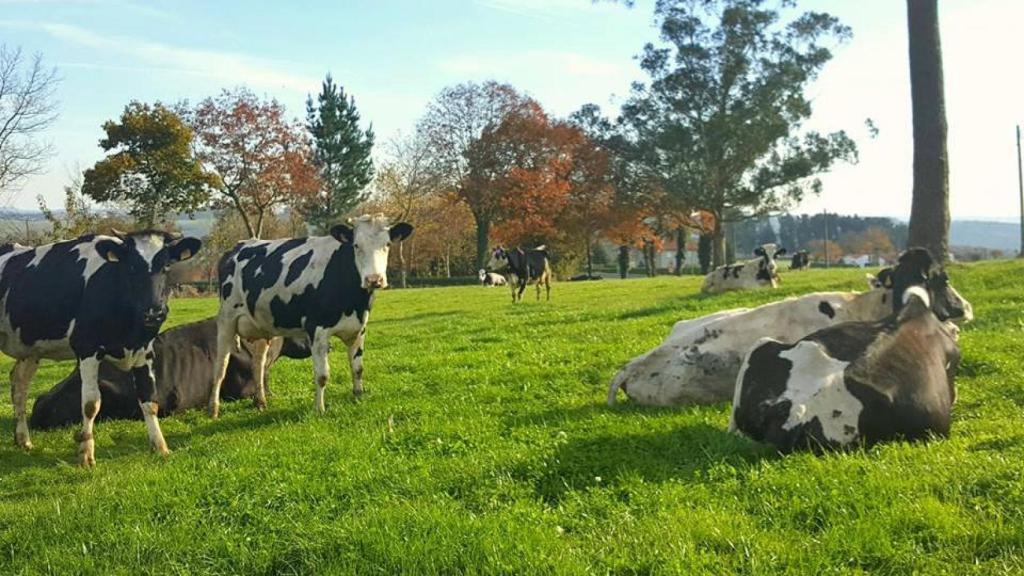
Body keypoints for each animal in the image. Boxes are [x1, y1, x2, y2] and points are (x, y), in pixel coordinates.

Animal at [0, 230, 201, 465]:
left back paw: (23, 440)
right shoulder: (87, 348)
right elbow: (91, 403)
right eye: (131, 267)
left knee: (19, 385)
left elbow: (149, 400)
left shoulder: (144, 352)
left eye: (167, 266)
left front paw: (160, 446)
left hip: (31, 348)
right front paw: (86, 454)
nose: (154, 313)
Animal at [209, 214, 413, 418]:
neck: (353, 301)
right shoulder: (317, 329)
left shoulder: (358, 329)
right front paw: (319, 409)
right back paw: (213, 408)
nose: (374, 279)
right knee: (221, 366)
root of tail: (238, 247)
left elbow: (358, 369)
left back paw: (260, 402)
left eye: (387, 244)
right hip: (226, 319)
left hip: (261, 325)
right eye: (356, 245)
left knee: (258, 363)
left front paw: (358, 397)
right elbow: (322, 375)